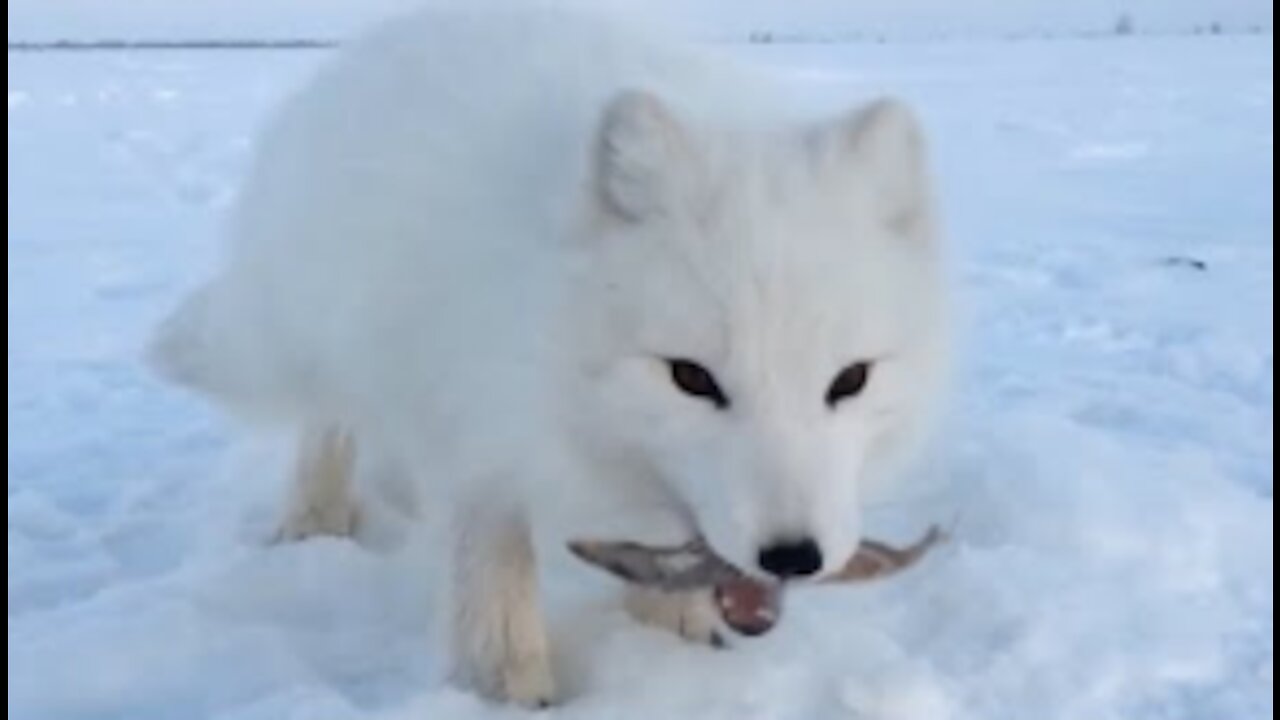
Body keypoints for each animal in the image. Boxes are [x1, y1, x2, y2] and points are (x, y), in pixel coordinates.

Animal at [147, 2, 952, 702]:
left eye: (850, 379)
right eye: (691, 378)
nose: (792, 557)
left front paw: (672, 637)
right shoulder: (472, 413)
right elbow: (491, 559)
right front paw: (506, 685)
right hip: (327, 329)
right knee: (328, 416)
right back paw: (316, 517)